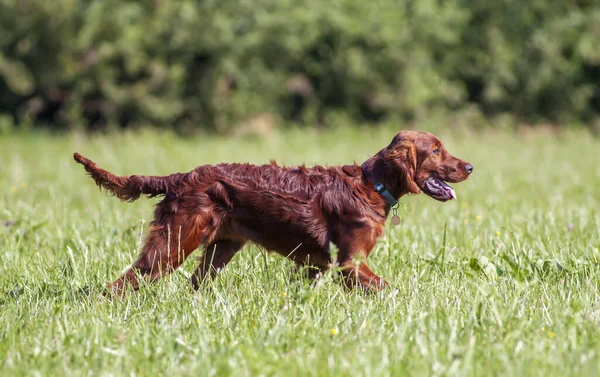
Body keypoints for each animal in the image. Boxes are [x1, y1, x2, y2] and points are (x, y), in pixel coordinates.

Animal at [72, 131, 474, 296]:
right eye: (436, 150)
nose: (470, 166)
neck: (372, 185)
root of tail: (179, 178)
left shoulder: (319, 265)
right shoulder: (350, 262)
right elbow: (390, 289)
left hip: (220, 248)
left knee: (193, 284)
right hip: (173, 244)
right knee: (123, 281)